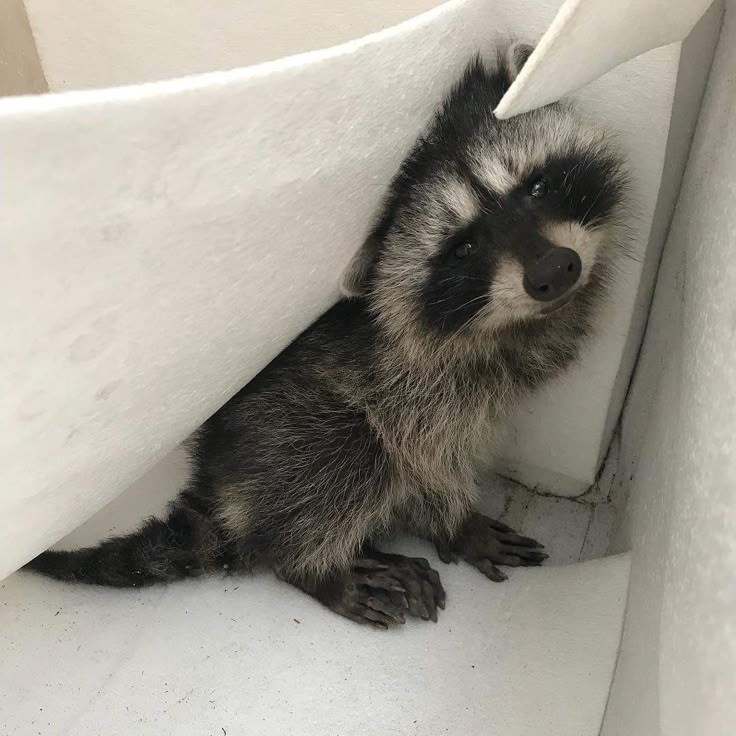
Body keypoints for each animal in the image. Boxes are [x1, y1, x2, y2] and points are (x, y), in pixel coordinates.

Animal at [27, 43, 628, 629]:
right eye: (464, 248)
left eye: (538, 186)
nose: (554, 271)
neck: (498, 328)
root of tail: (219, 487)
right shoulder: (406, 382)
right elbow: (425, 458)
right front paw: (452, 520)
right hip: (282, 428)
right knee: (347, 455)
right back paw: (315, 562)